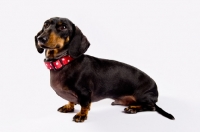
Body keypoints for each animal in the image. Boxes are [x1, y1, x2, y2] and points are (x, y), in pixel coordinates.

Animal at [35, 17, 174, 122]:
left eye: (63, 27)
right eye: (45, 25)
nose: (40, 38)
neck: (64, 62)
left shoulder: (84, 93)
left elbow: (85, 105)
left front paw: (81, 115)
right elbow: (71, 100)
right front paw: (69, 106)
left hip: (143, 96)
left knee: (151, 107)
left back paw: (133, 108)